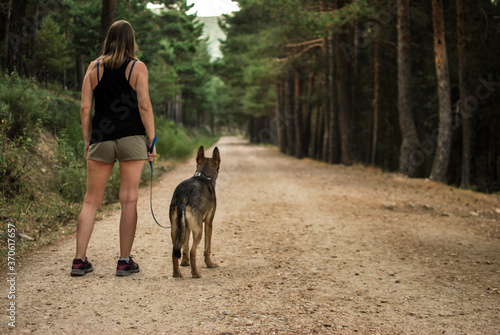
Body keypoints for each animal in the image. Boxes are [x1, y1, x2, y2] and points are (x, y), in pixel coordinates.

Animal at [169, 145, 220, 278]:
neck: (203, 176)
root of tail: (183, 196)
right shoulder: (208, 223)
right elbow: (207, 247)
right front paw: (209, 264)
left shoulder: (186, 227)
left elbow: (185, 247)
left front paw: (184, 263)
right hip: (198, 231)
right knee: (193, 251)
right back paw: (195, 273)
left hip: (175, 229)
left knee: (175, 251)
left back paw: (177, 273)